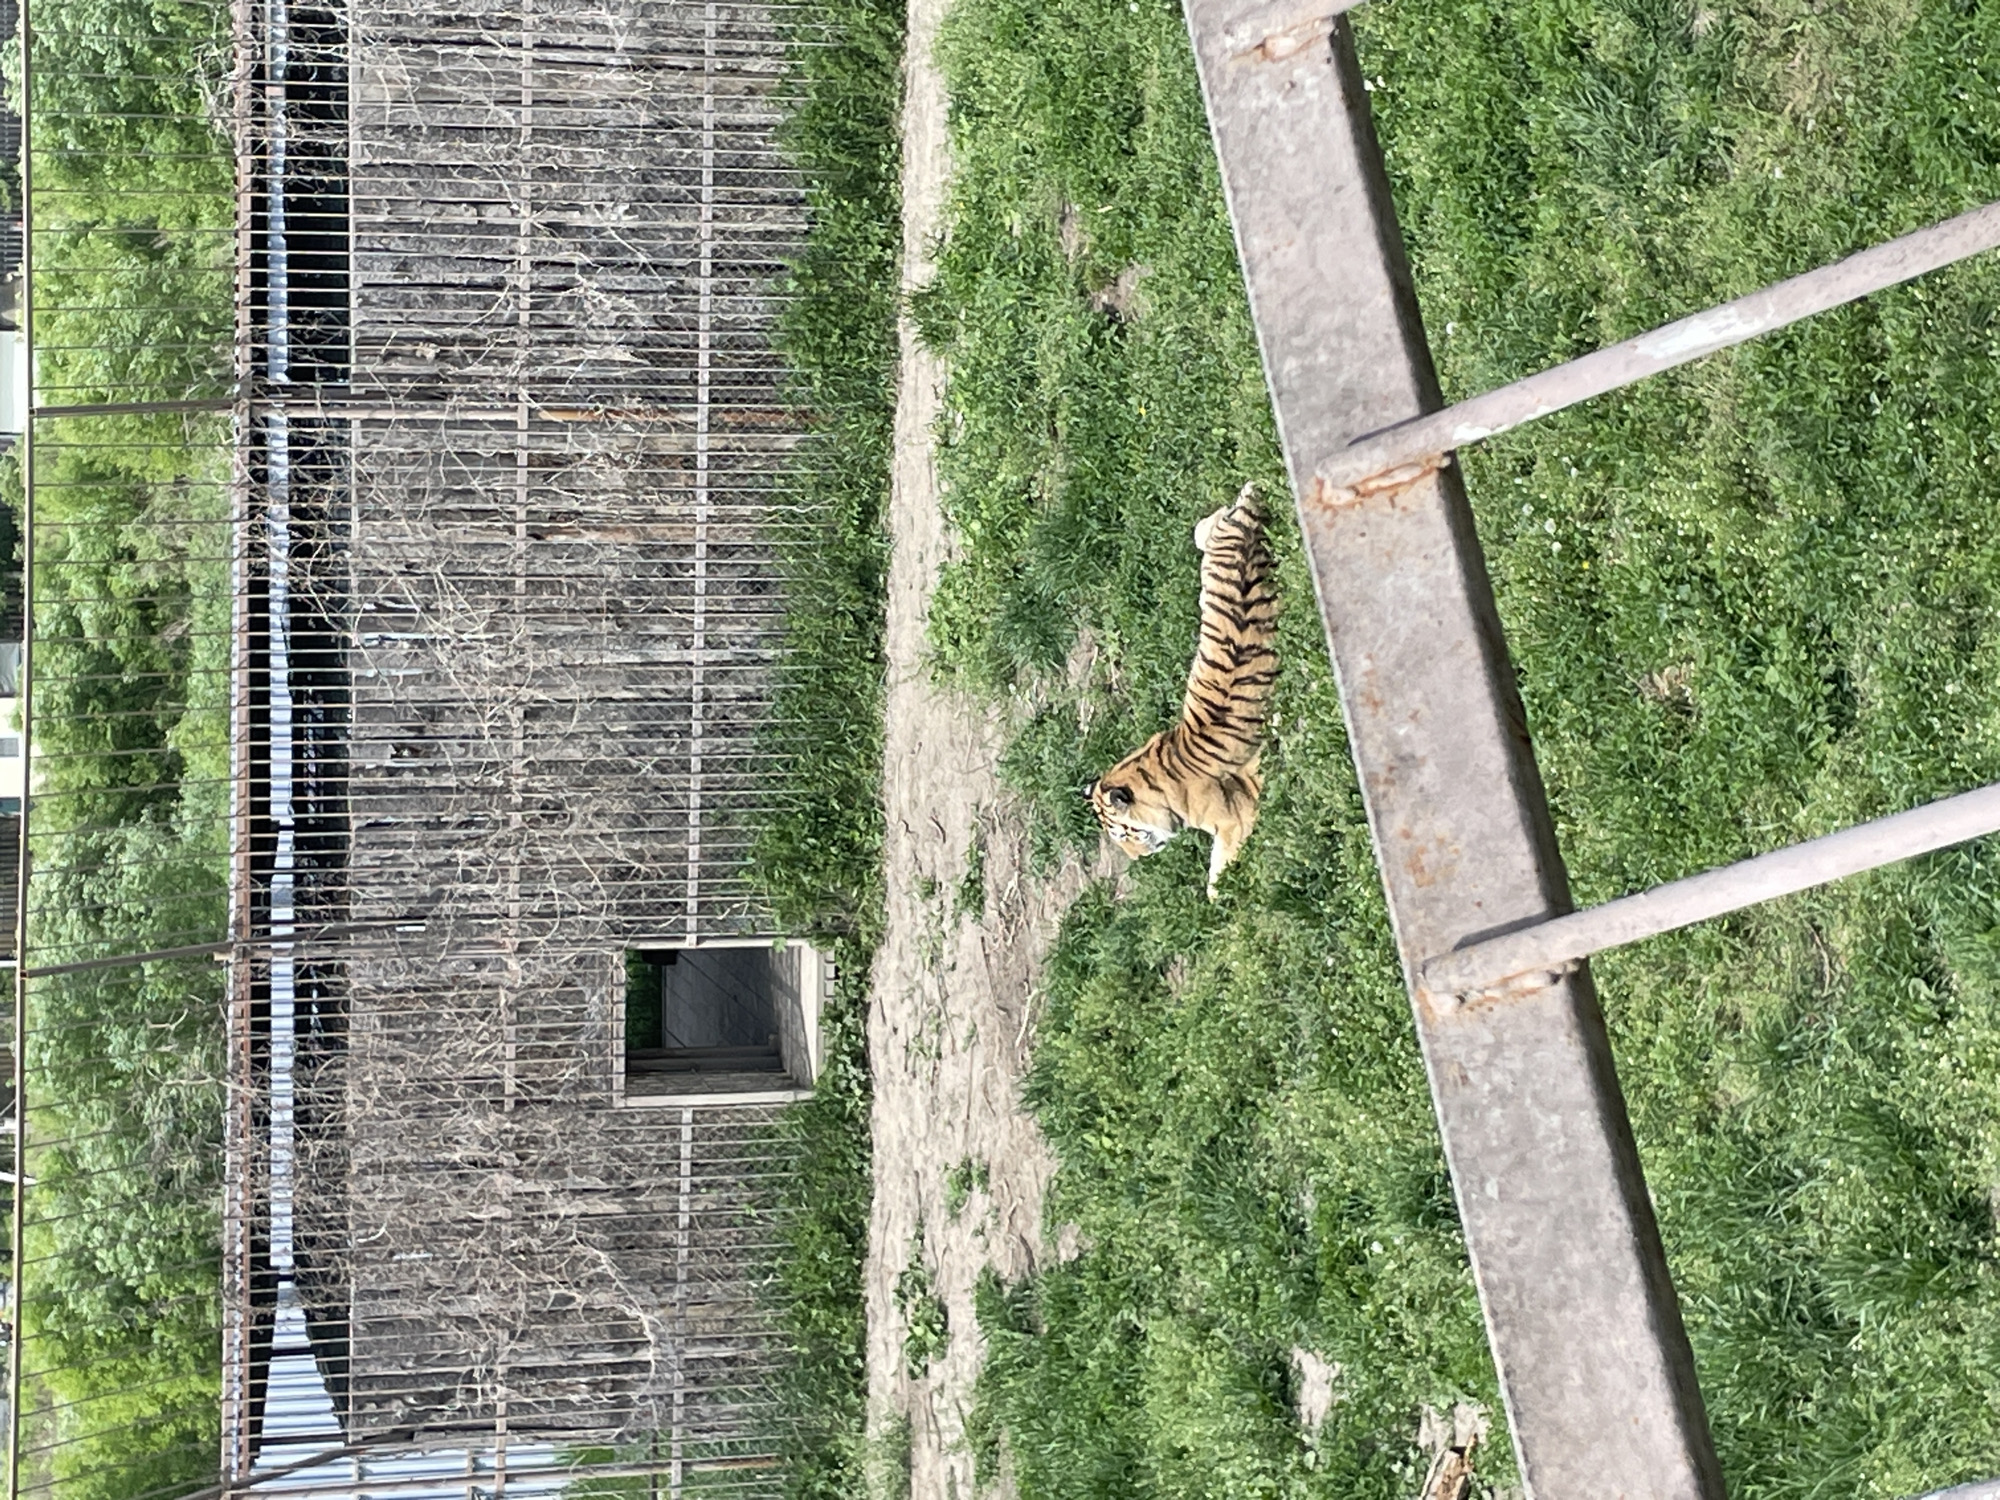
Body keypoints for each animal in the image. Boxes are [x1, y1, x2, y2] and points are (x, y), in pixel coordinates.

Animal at [1085, 483, 1278, 899]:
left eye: (1123, 833)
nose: (1137, 860)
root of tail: (1244, 526)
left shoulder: (1234, 818)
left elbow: (1215, 878)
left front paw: (1222, 900)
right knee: (1211, 522)